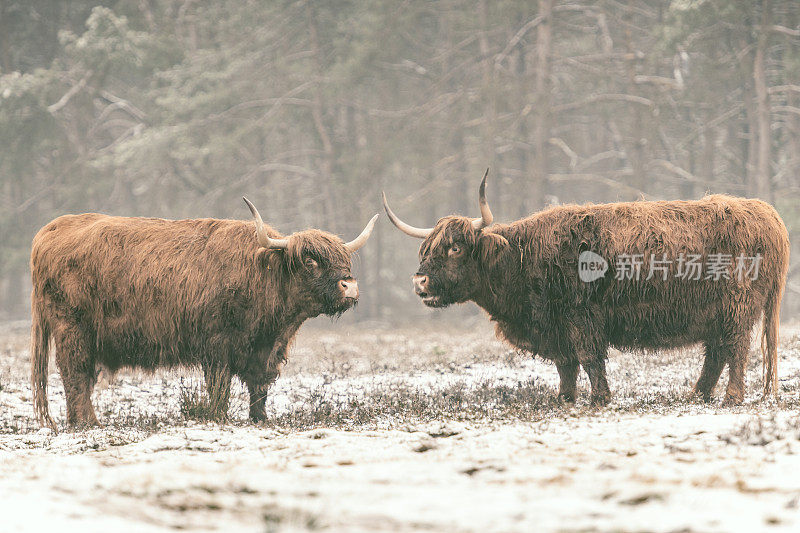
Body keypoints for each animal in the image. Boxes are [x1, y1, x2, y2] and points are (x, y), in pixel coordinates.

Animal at [30, 198, 378, 428]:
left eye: (343, 259)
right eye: (309, 260)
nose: (349, 285)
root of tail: (52, 229)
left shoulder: (267, 349)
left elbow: (260, 388)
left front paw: (260, 419)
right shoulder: (217, 345)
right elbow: (219, 388)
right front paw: (218, 418)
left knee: (84, 377)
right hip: (72, 329)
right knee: (75, 374)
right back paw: (85, 423)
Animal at [384, 172, 792, 406]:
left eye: (454, 248)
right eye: (426, 249)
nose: (420, 281)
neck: (522, 259)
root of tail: (767, 214)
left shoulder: (579, 316)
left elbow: (589, 358)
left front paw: (599, 398)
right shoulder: (554, 325)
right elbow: (566, 364)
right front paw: (564, 398)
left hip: (736, 308)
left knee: (734, 349)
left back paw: (731, 397)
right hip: (715, 314)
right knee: (716, 352)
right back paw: (698, 395)